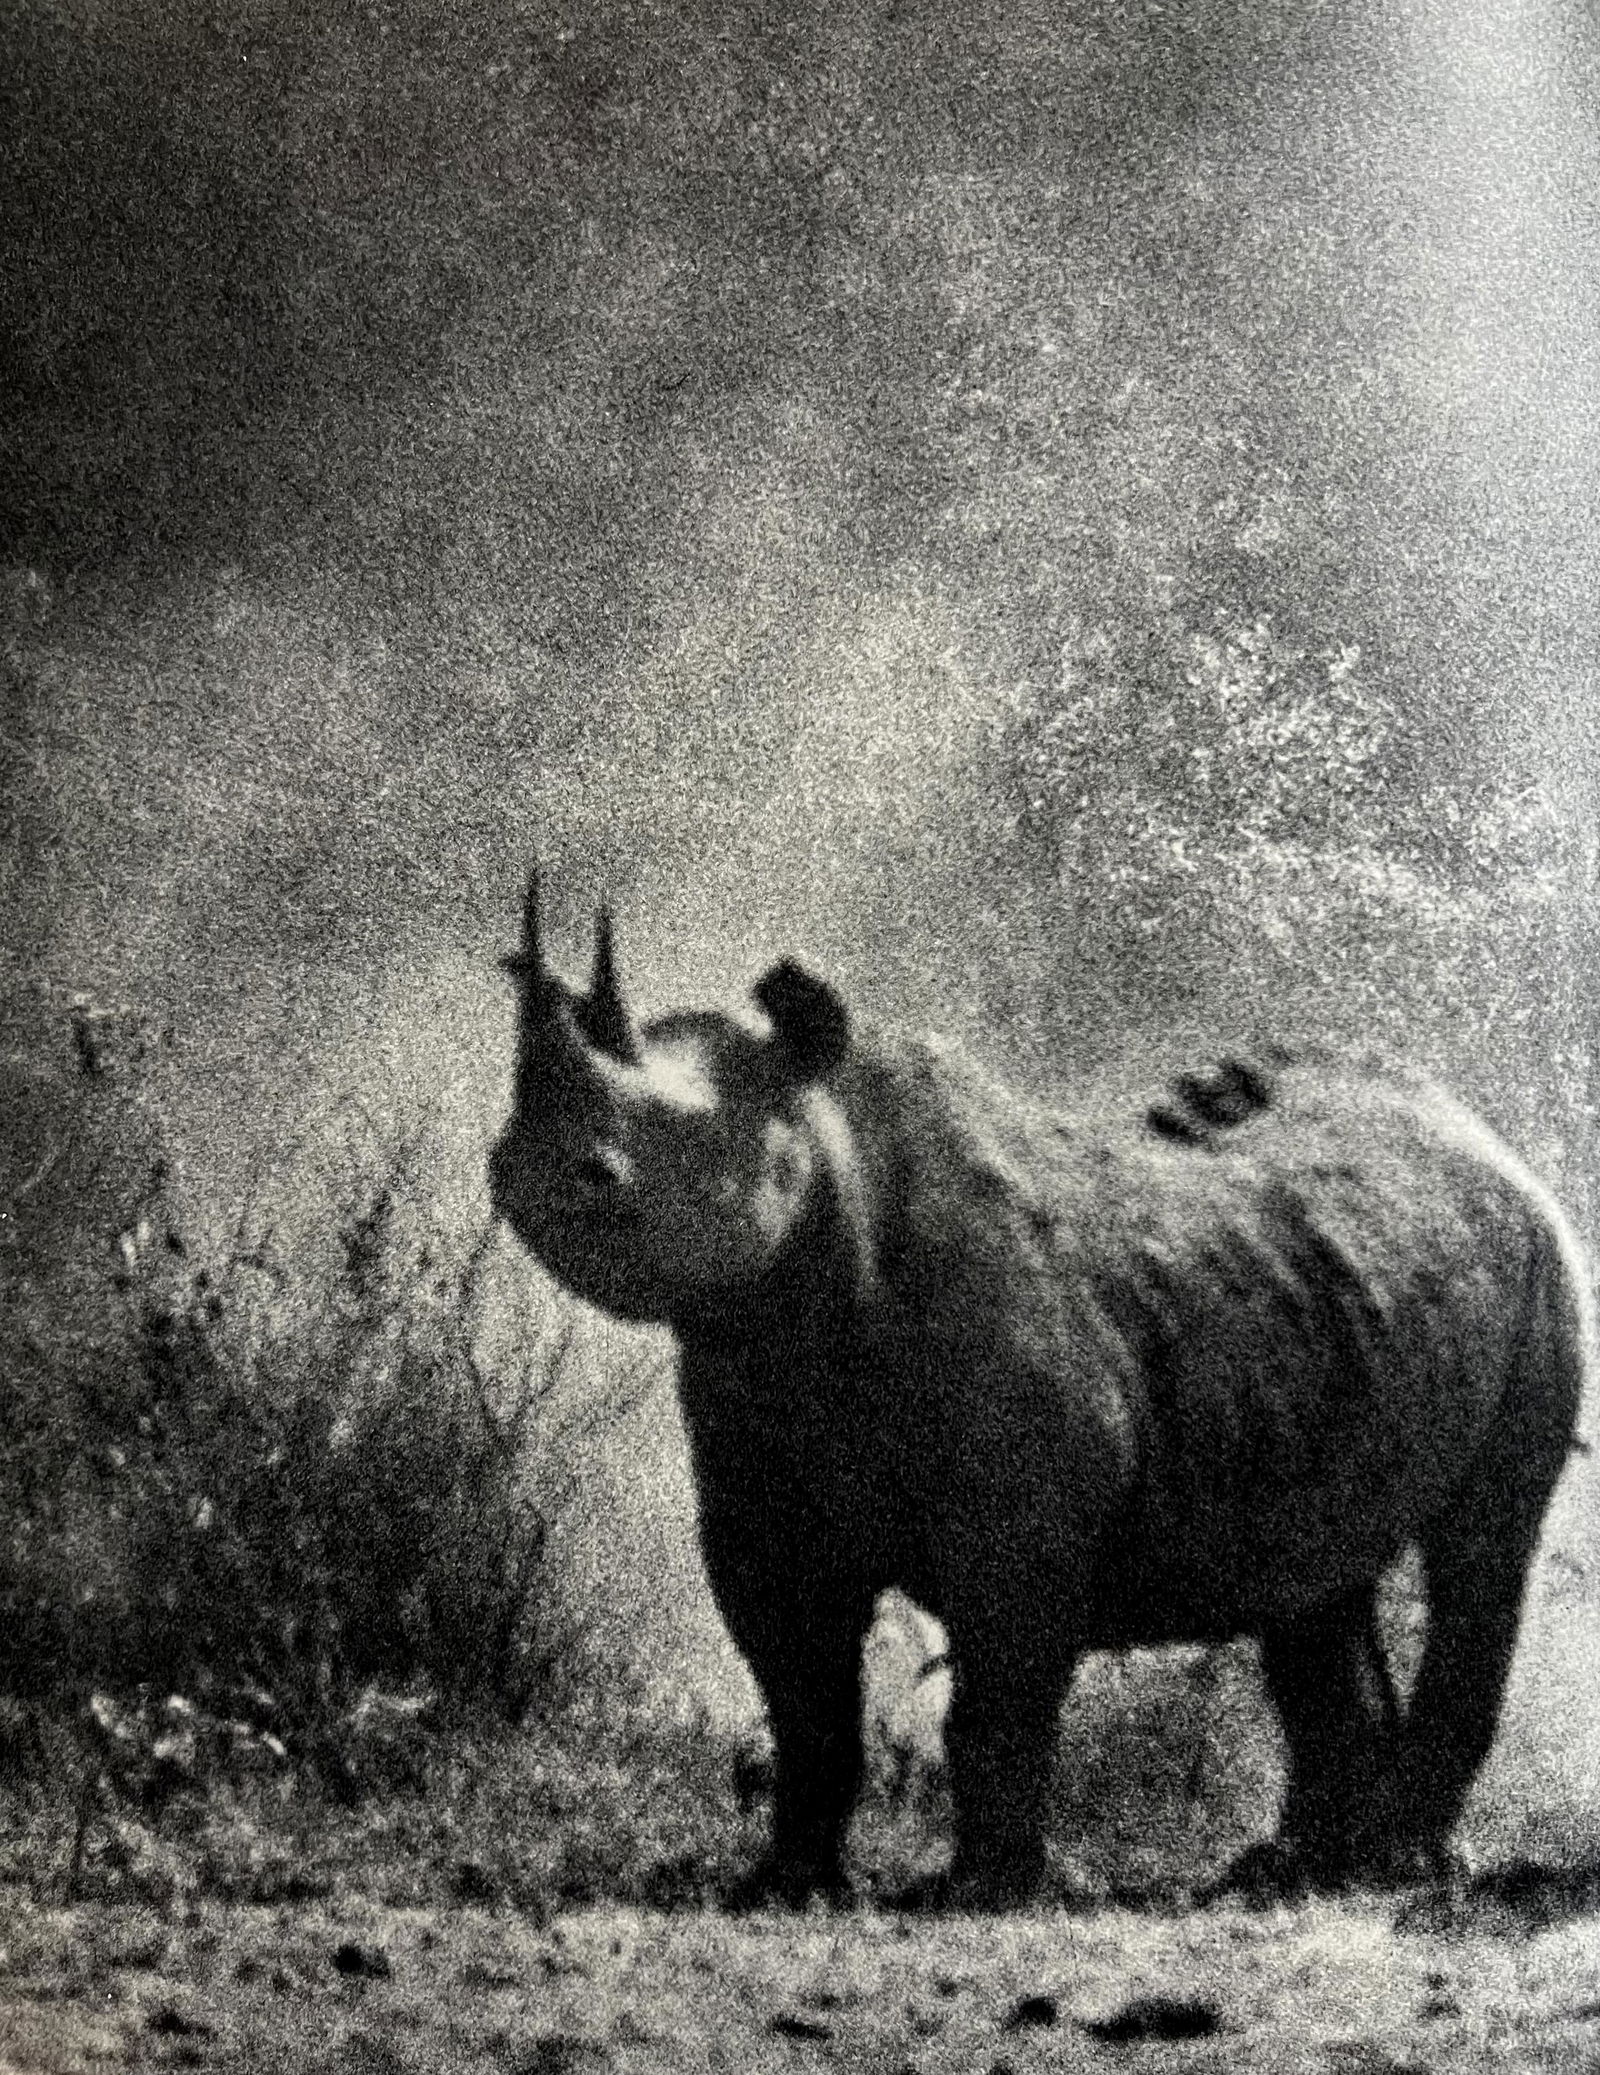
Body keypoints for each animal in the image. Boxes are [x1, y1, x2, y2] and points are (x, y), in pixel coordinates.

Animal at [487, 870, 1590, 1908]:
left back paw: (1400, 1867)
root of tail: (1482, 1134)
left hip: (1543, 1265)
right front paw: (783, 1885)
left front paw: (979, 1892)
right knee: (1314, 1576)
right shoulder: (763, 1491)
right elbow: (805, 1700)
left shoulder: (1020, 1518)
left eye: (668, 1145)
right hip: (1328, 1298)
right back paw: (1296, 1873)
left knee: (1483, 1542)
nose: (526, 1168)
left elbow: (997, 1695)